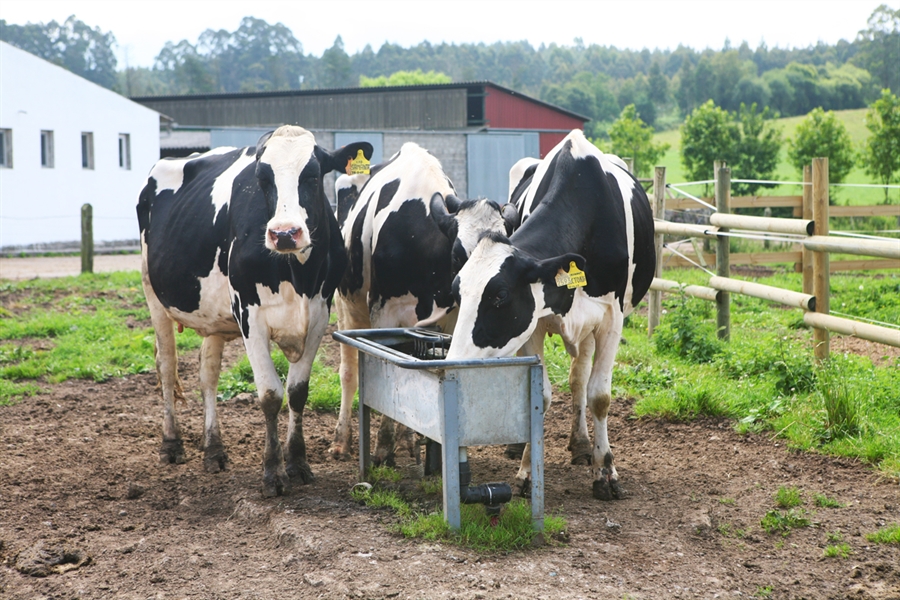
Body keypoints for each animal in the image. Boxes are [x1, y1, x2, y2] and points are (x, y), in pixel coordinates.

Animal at [134, 125, 372, 496]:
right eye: (262, 178)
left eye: (313, 174)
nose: (285, 233)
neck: (294, 273)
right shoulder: (250, 316)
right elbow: (271, 394)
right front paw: (273, 473)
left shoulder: (319, 314)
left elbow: (298, 392)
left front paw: (298, 463)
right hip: (152, 291)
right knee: (167, 365)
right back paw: (171, 444)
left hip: (214, 317)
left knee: (208, 373)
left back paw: (213, 450)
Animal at [448, 131, 652, 502]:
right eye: (458, 290)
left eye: (500, 295)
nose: (455, 362)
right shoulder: (534, 325)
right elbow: (537, 396)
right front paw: (527, 472)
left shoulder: (612, 319)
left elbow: (600, 396)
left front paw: (606, 471)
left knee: (579, 378)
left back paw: (583, 444)